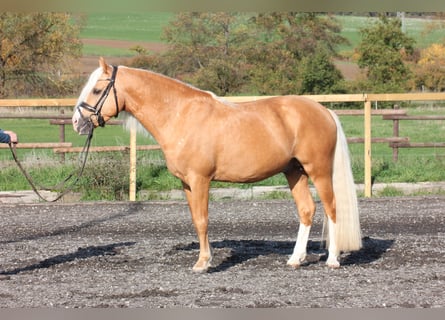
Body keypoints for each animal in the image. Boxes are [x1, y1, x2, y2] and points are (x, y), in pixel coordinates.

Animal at [73, 57, 360, 272]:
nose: (77, 122)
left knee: (332, 208)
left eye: (97, 90)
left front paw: (203, 263)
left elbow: (202, 220)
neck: (180, 115)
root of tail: (324, 111)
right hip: (294, 171)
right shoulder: (186, 183)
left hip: (319, 170)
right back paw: (295, 259)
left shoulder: (200, 179)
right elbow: (195, 219)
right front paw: (204, 258)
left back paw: (332, 260)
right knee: (306, 210)